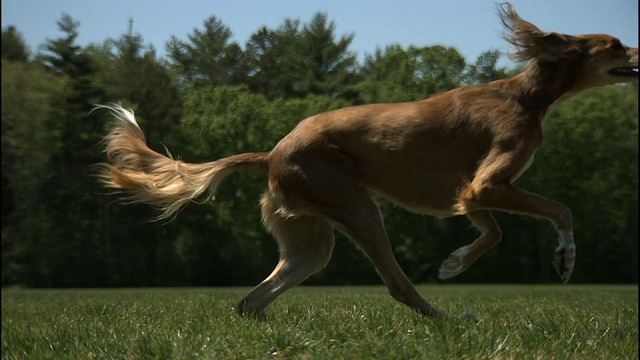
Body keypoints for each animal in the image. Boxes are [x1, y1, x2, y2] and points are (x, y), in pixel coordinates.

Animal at [97, 3, 636, 318]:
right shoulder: (486, 184)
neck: (526, 95)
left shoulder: (466, 193)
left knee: (252, 300)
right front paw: (565, 258)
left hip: (309, 238)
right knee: (398, 285)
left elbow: (492, 232)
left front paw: (456, 262)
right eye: (613, 44)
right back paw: (447, 319)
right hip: (357, 207)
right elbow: (558, 211)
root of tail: (273, 153)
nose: (638, 52)